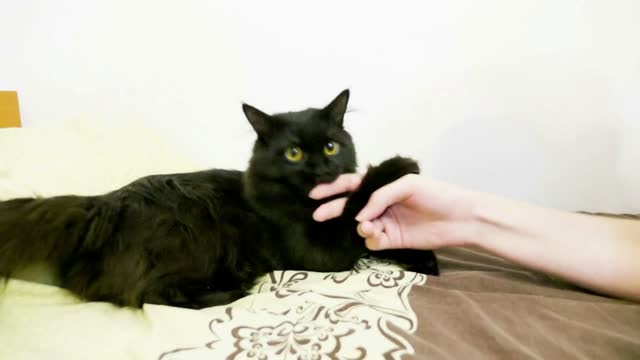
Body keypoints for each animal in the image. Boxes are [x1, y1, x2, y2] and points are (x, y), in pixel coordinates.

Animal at [0, 89, 436, 306]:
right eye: (294, 153)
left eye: (331, 146)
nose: (320, 170)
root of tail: (101, 204)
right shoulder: (319, 254)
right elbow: (355, 205)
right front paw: (399, 165)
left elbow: (374, 236)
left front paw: (426, 260)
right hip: (194, 233)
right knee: (146, 294)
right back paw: (233, 291)